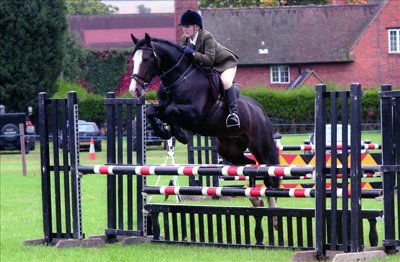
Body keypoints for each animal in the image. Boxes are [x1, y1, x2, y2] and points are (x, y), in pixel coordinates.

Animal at [130, 33, 280, 211]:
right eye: (133, 60)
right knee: (249, 165)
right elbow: (151, 111)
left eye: (146, 59)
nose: (134, 90)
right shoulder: (165, 108)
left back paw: (272, 208)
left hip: (260, 146)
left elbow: (170, 111)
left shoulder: (194, 114)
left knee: (268, 173)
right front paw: (165, 131)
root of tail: (260, 110)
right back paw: (255, 198)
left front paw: (179, 134)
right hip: (229, 149)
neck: (179, 78)